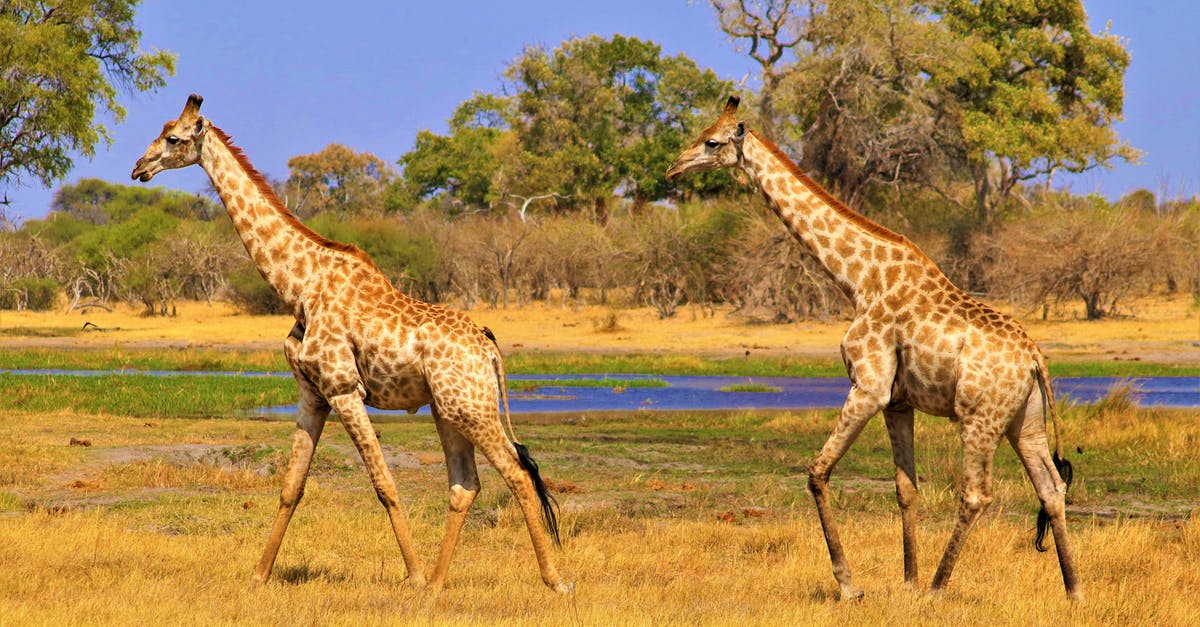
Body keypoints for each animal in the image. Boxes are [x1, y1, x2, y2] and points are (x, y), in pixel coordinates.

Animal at [129, 93, 568, 590]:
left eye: (173, 138)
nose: (139, 167)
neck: (299, 286)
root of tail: (490, 347)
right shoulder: (312, 393)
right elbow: (291, 486)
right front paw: (259, 575)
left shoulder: (344, 389)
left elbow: (385, 485)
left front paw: (413, 576)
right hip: (448, 409)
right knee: (465, 484)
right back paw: (440, 584)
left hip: (472, 409)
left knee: (517, 473)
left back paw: (553, 580)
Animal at [667, 94, 1080, 598]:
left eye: (712, 141)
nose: (673, 167)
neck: (858, 281)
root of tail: (1036, 359)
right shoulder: (897, 401)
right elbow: (906, 488)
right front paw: (906, 580)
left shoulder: (868, 387)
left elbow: (817, 472)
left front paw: (850, 585)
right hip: (1025, 421)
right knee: (1051, 488)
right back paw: (1073, 590)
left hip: (980, 418)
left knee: (977, 493)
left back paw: (938, 589)